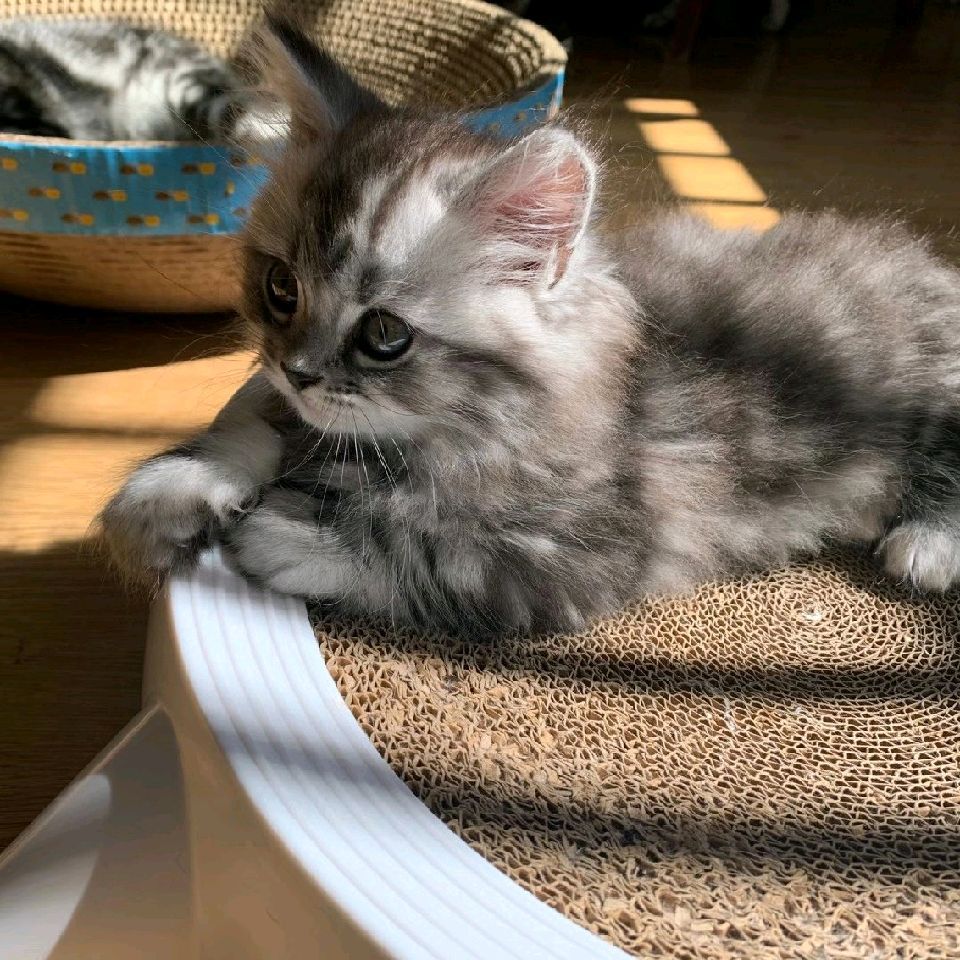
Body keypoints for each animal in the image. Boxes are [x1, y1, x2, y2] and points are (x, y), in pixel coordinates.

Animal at [100, 15, 960, 635]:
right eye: (282, 288)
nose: (298, 369)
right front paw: (174, 489)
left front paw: (286, 532)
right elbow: (255, 423)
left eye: (385, 335)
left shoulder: (590, 547)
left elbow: (421, 544)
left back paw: (927, 543)